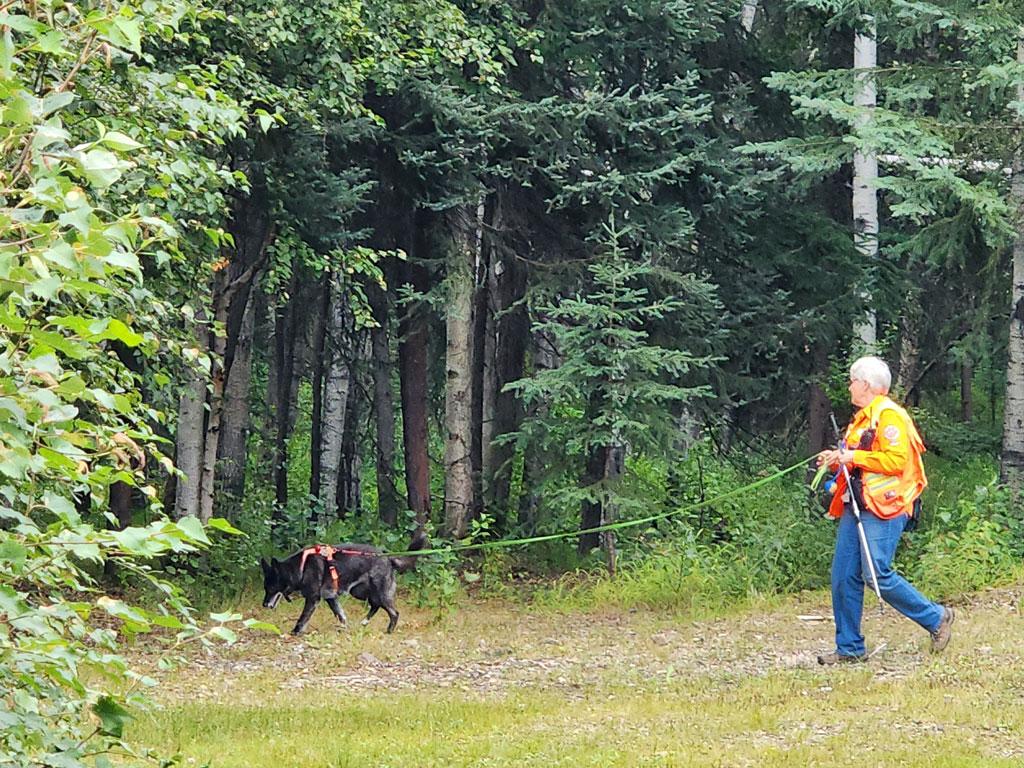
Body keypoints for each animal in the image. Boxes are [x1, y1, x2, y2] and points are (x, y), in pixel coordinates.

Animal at [264, 532, 428, 634]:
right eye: (265, 588)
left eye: (271, 588)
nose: (264, 604)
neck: (301, 566)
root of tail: (388, 558)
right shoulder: (331, 598)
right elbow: (341, 615)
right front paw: (345, 628)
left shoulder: (313, 598)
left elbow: (303, 618)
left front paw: (295, 632)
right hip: (360, 593)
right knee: (375, 606)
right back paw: (364, 622)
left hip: (380, 593)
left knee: (394, 613)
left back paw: (388, 631)